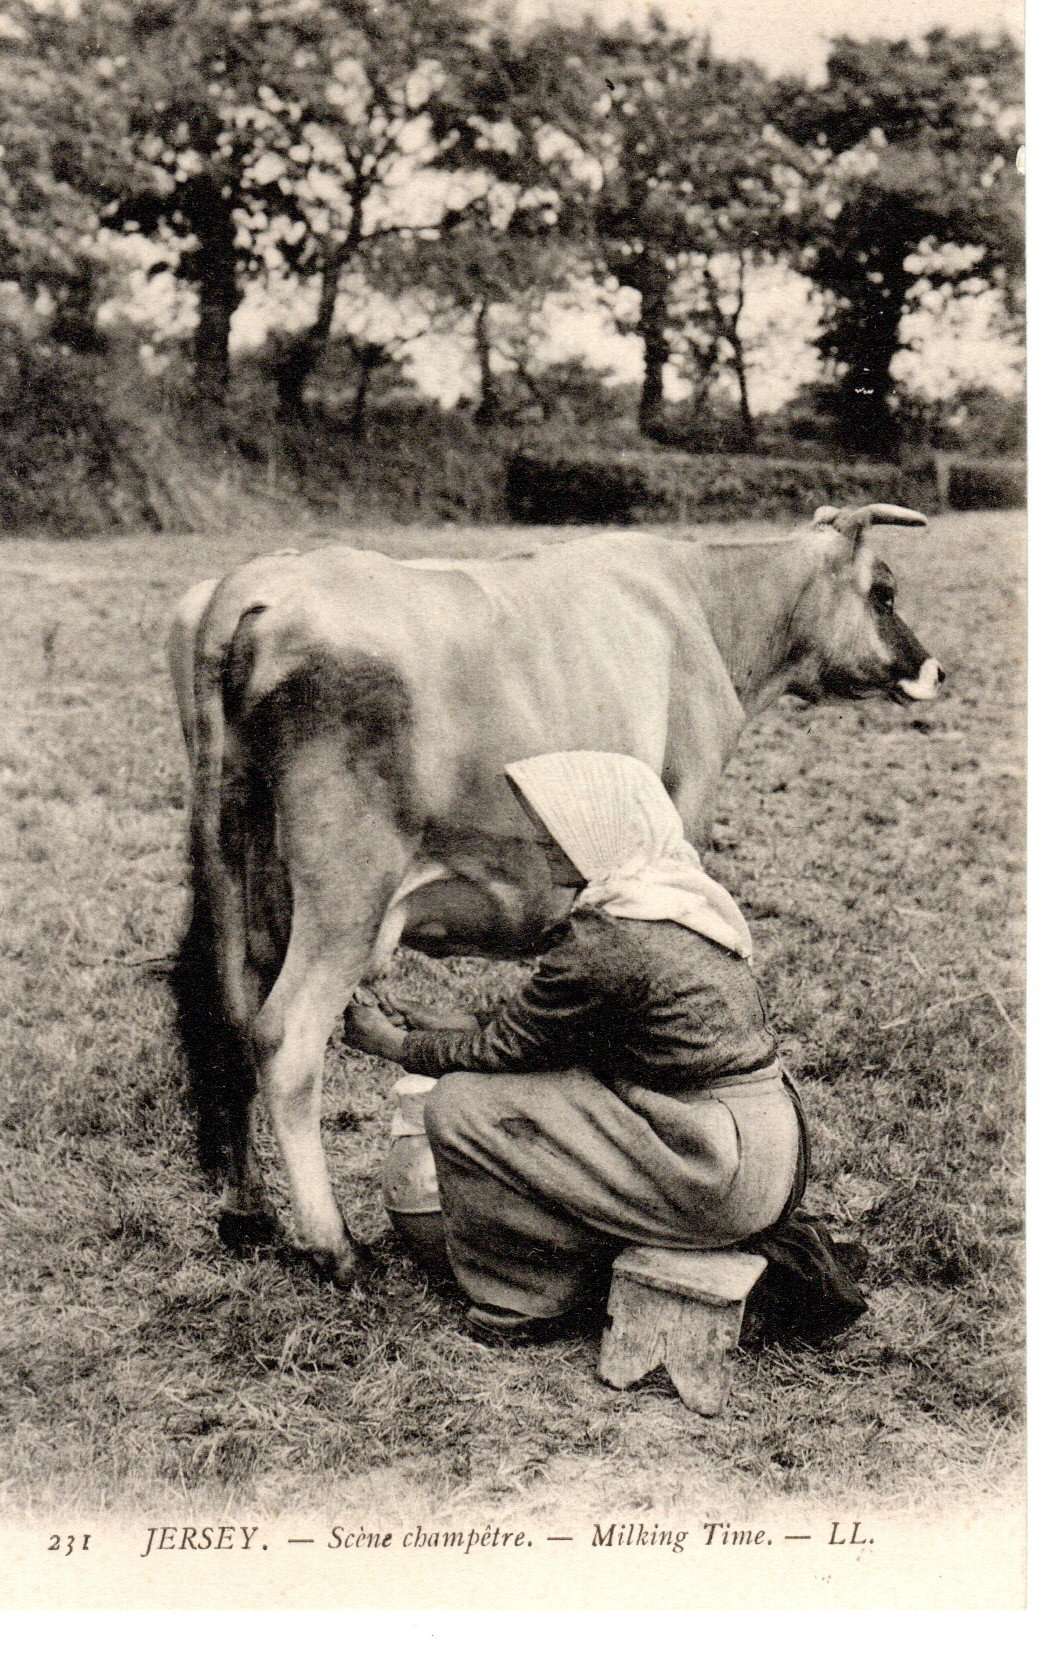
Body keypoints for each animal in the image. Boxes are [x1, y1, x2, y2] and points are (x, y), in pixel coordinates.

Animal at [168, 503, 944, 1287]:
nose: (932, 668)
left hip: (235, 874)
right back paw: (335, 1248)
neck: (706, 605)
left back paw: (247, 1213)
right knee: (284, 1037)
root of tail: (252, 586)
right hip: (345, 891)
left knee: (230, 1018)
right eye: (883, 591)